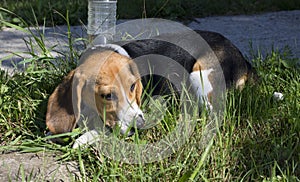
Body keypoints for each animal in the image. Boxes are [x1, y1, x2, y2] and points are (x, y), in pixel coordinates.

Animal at [45, 29, 254, 146]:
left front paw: (83, 139)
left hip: (198, 75)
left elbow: (108, 128)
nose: (139, 126)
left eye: (132, 86)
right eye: (106, 95)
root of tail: (242, 58)